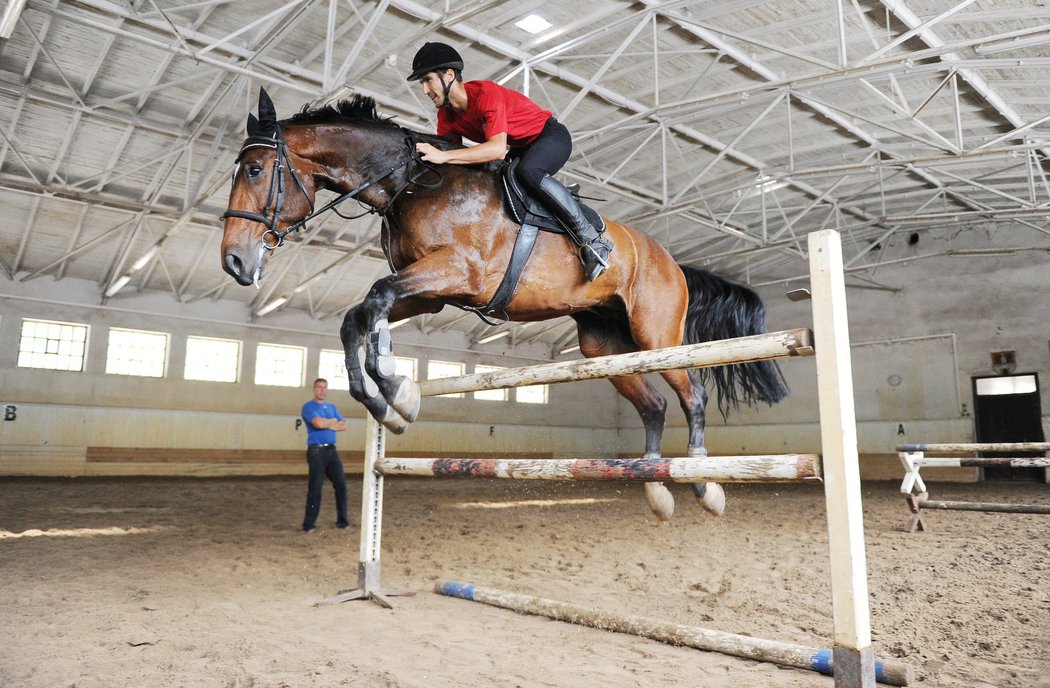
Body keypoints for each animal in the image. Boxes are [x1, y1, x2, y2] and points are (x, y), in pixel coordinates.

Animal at [219, 90, 789, 523]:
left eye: (255, 169)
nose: (234, 261)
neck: (410, 186)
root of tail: (675, 261)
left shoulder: (457, 271)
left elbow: (374, 299)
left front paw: (398, 391)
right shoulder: (429, 293)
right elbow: (357, 317)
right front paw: (389, 402)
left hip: (656, 336)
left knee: (693, 397)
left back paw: (704, 485)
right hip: (605, 346)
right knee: (653, 406)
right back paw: (655, 488)